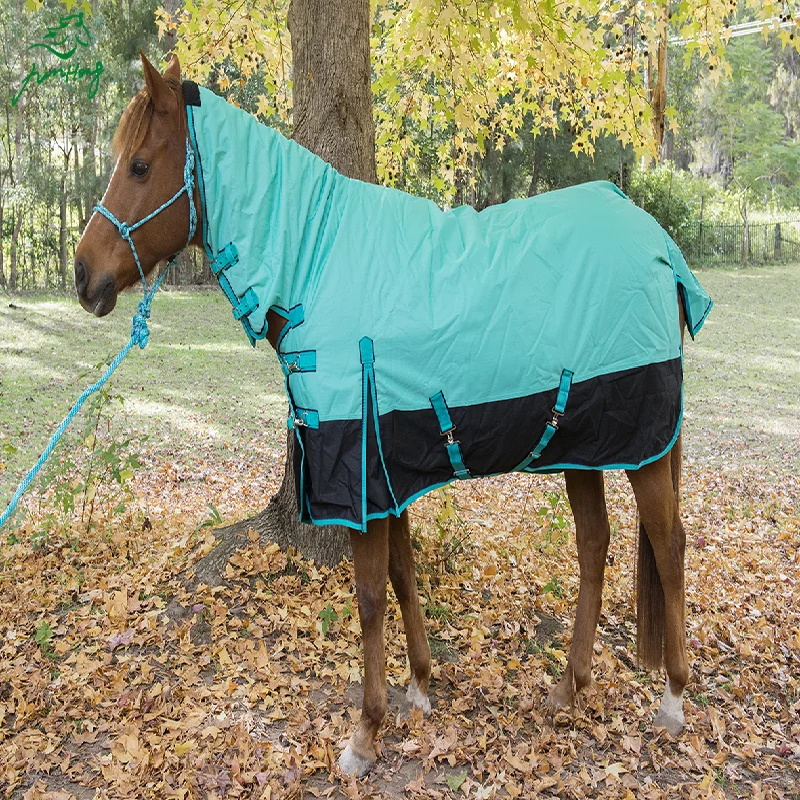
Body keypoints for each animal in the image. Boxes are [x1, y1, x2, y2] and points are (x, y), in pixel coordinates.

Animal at [74, 53, 710, 777]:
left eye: (139, 166)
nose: (83, 275)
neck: (316, 261)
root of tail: (657, 242)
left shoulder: (356, 473)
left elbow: (370, 597)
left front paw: (365, 733)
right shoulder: (387, 470)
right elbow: (403, 578)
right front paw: (420, 690)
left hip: (644, 448)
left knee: (669, 545)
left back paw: (672, 702)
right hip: (581, 444)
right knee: (594, 544)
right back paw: (568, 689)